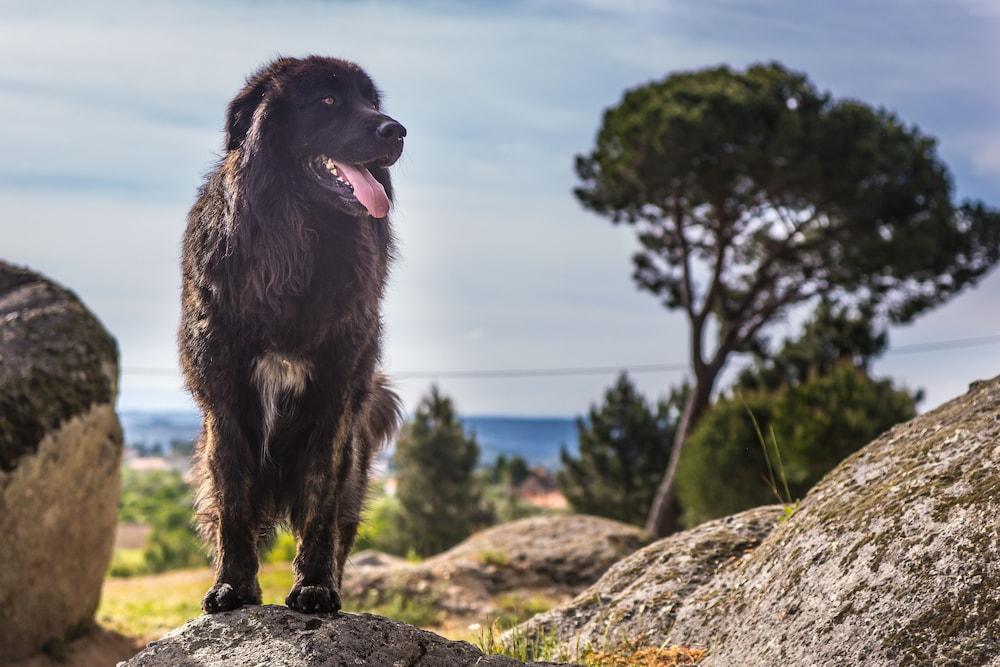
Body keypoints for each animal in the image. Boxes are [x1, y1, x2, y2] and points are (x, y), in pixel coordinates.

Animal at [178, 57, 404, 616]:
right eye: (327, 101)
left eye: (370, 101)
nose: (397, 130)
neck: (298, 242)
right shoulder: (227, 402)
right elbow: (234, 506)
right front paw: (233, 587)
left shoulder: (335, 402)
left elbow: (321, 510)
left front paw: (316, 588)